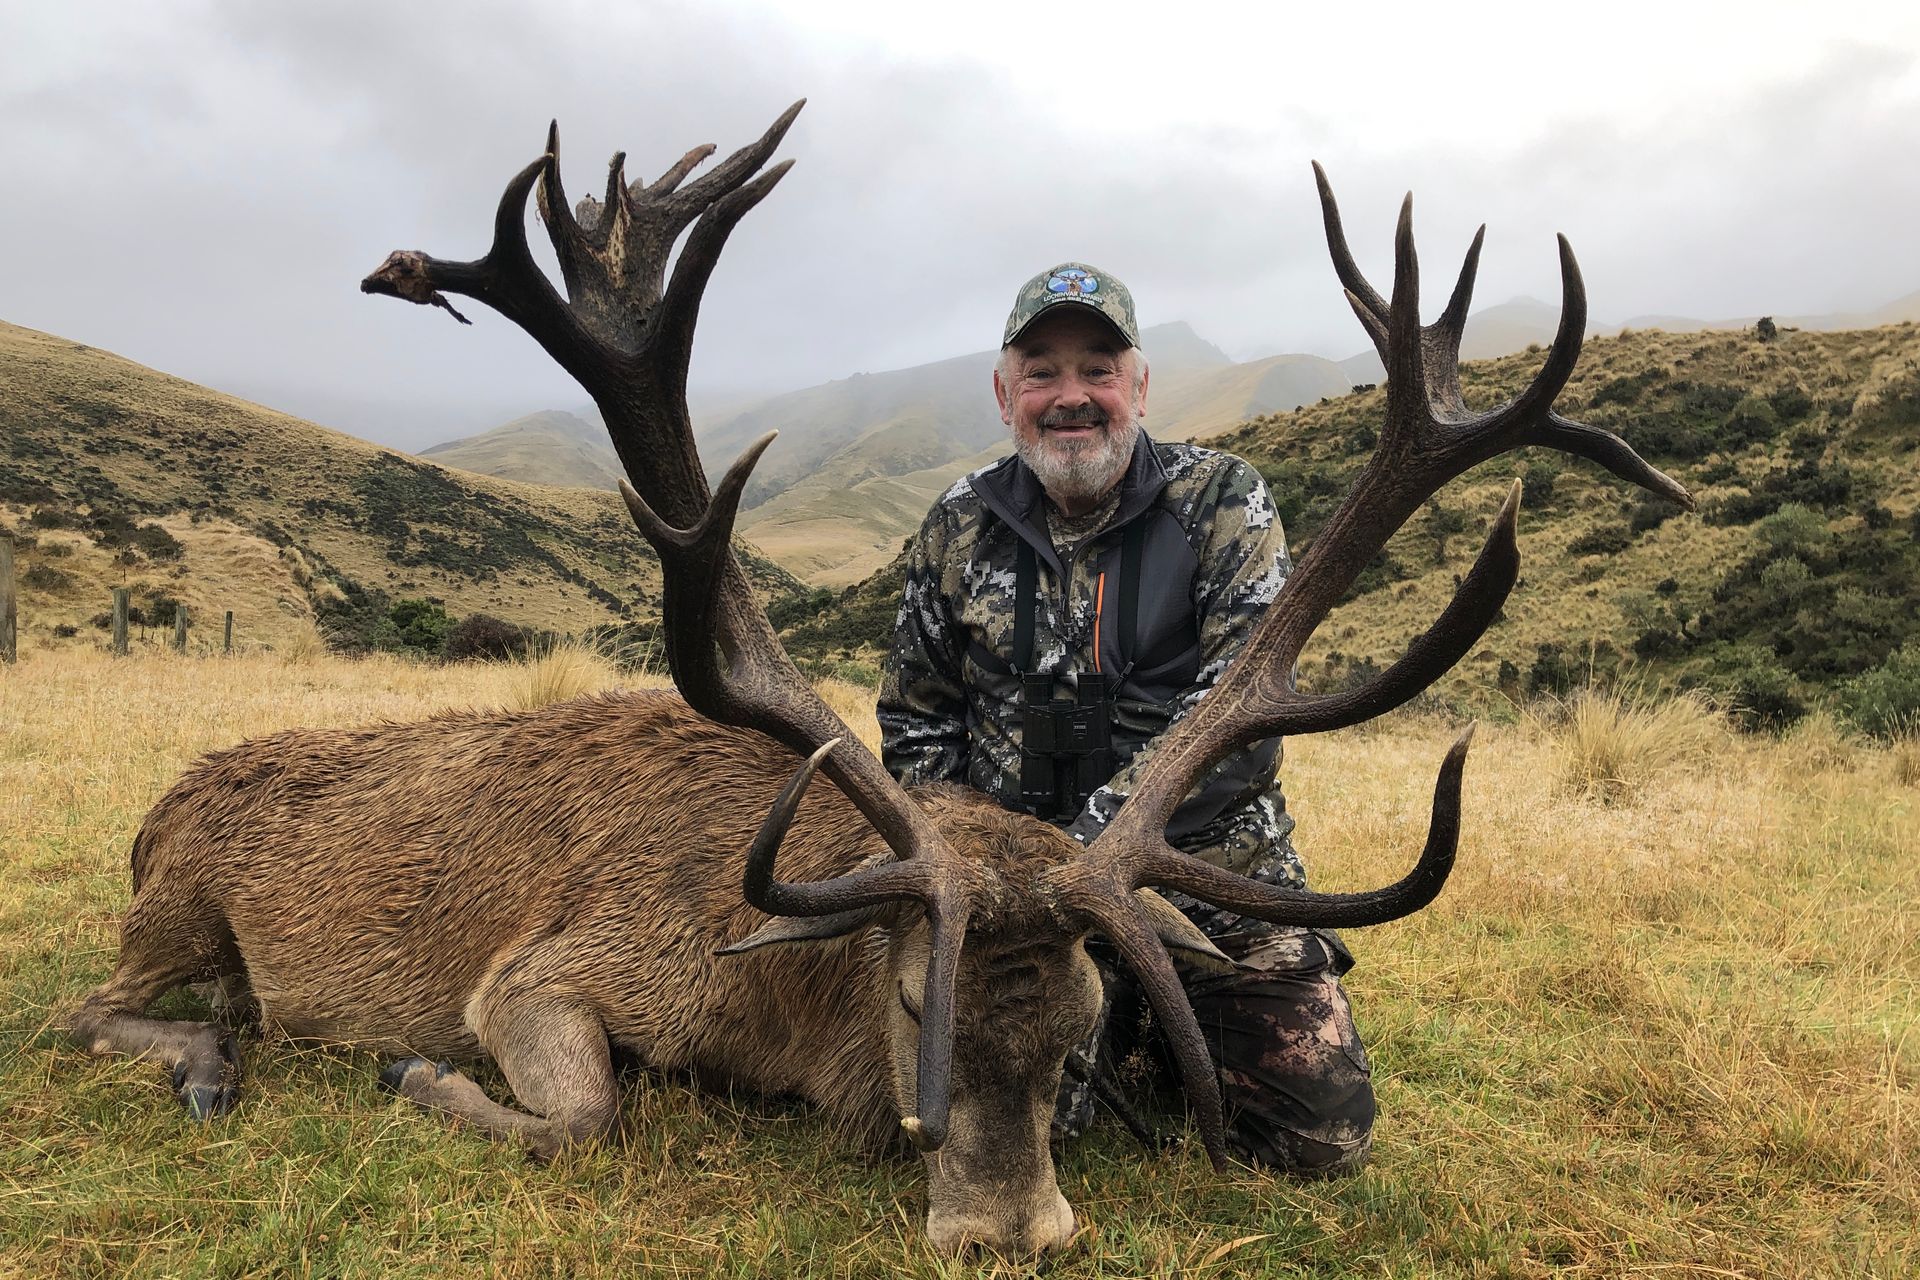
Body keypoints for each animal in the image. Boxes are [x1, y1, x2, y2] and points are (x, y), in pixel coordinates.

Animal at [65, 102, 1690, 1255]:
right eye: (920, 1006)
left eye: (1089, 1029)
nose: (1012, 1234)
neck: (782, 1005)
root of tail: (157, 808)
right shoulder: (536, 971)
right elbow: (585, 1112)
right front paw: (420, 1079)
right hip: (176, 905)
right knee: (88, 1006)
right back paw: (210, 1054)